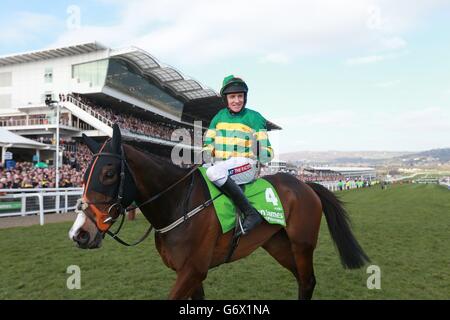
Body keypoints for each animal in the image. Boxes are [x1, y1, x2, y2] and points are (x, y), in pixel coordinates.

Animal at [67, 125, 370, 300]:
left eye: (108, 173)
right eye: (84, 173)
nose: (80, 233)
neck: (178, 203)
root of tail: (306, 185)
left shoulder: (193, 270)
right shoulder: (190, 272)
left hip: (302, 243)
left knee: (307, 281)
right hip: (277, 244)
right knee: (302, 281)